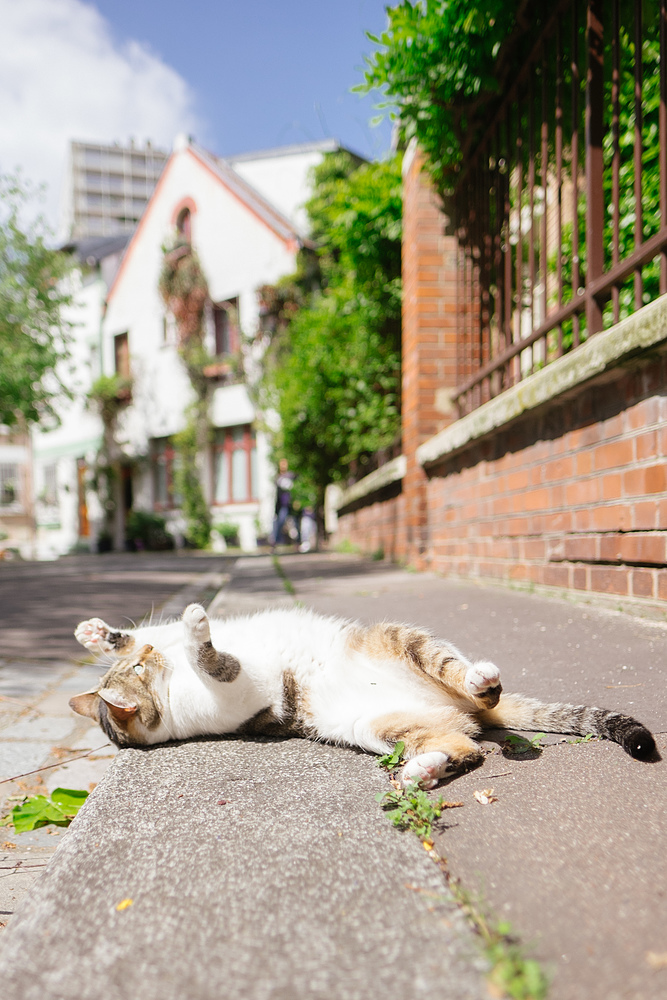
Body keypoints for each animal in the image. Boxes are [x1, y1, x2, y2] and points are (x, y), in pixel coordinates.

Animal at [69, 600, 656, 788]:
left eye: (136, 667)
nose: (153, 659)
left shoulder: (167, 641)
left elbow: (162, 631)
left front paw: (98, 634)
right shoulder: (236, 688)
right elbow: (213, 658)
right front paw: (196, 633)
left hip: (403, 644)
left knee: (467, 695)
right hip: (376, 726)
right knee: (468, 744)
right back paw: (424, 769)